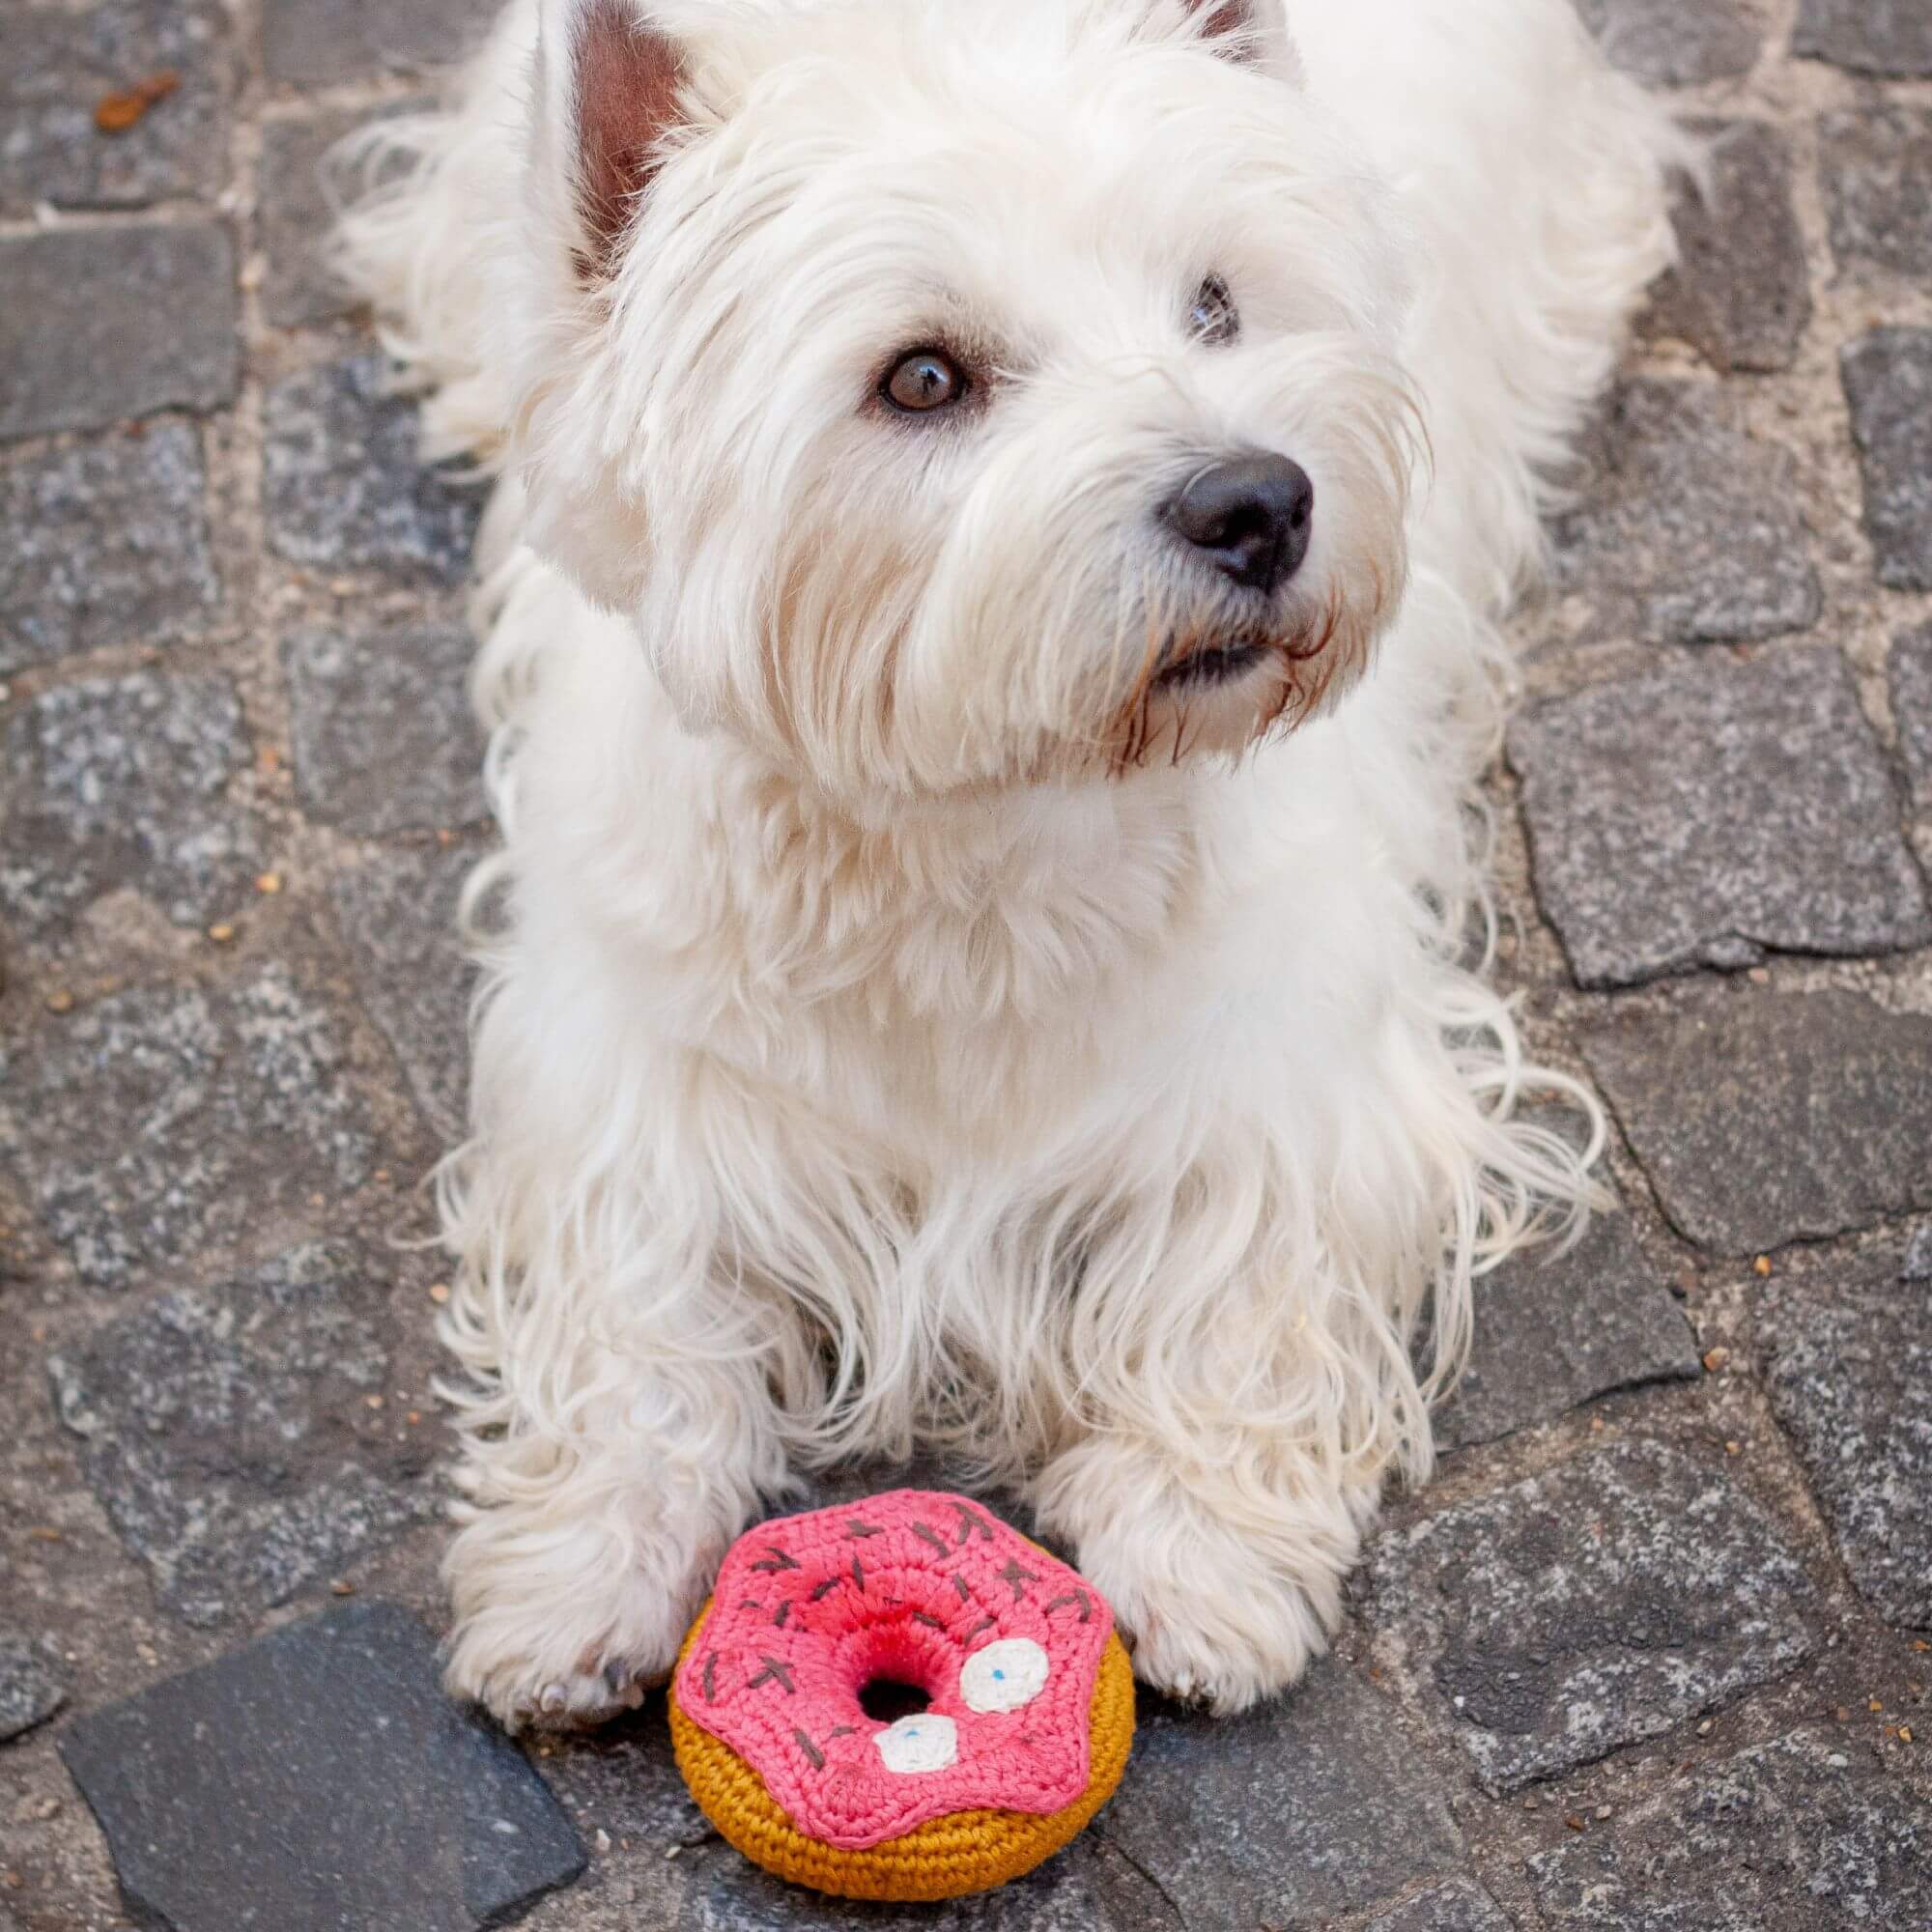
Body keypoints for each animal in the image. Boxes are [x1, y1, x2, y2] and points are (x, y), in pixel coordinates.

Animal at [340, 0, 1685, 1723]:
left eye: (1215, 302)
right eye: (921, 378)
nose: (1259, 501)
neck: (972, 842)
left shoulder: (1291, 1065)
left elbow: (1241, 1276)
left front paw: (1202, 1550)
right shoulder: (628, 1075)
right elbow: (633, 1315)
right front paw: (578, 1575)